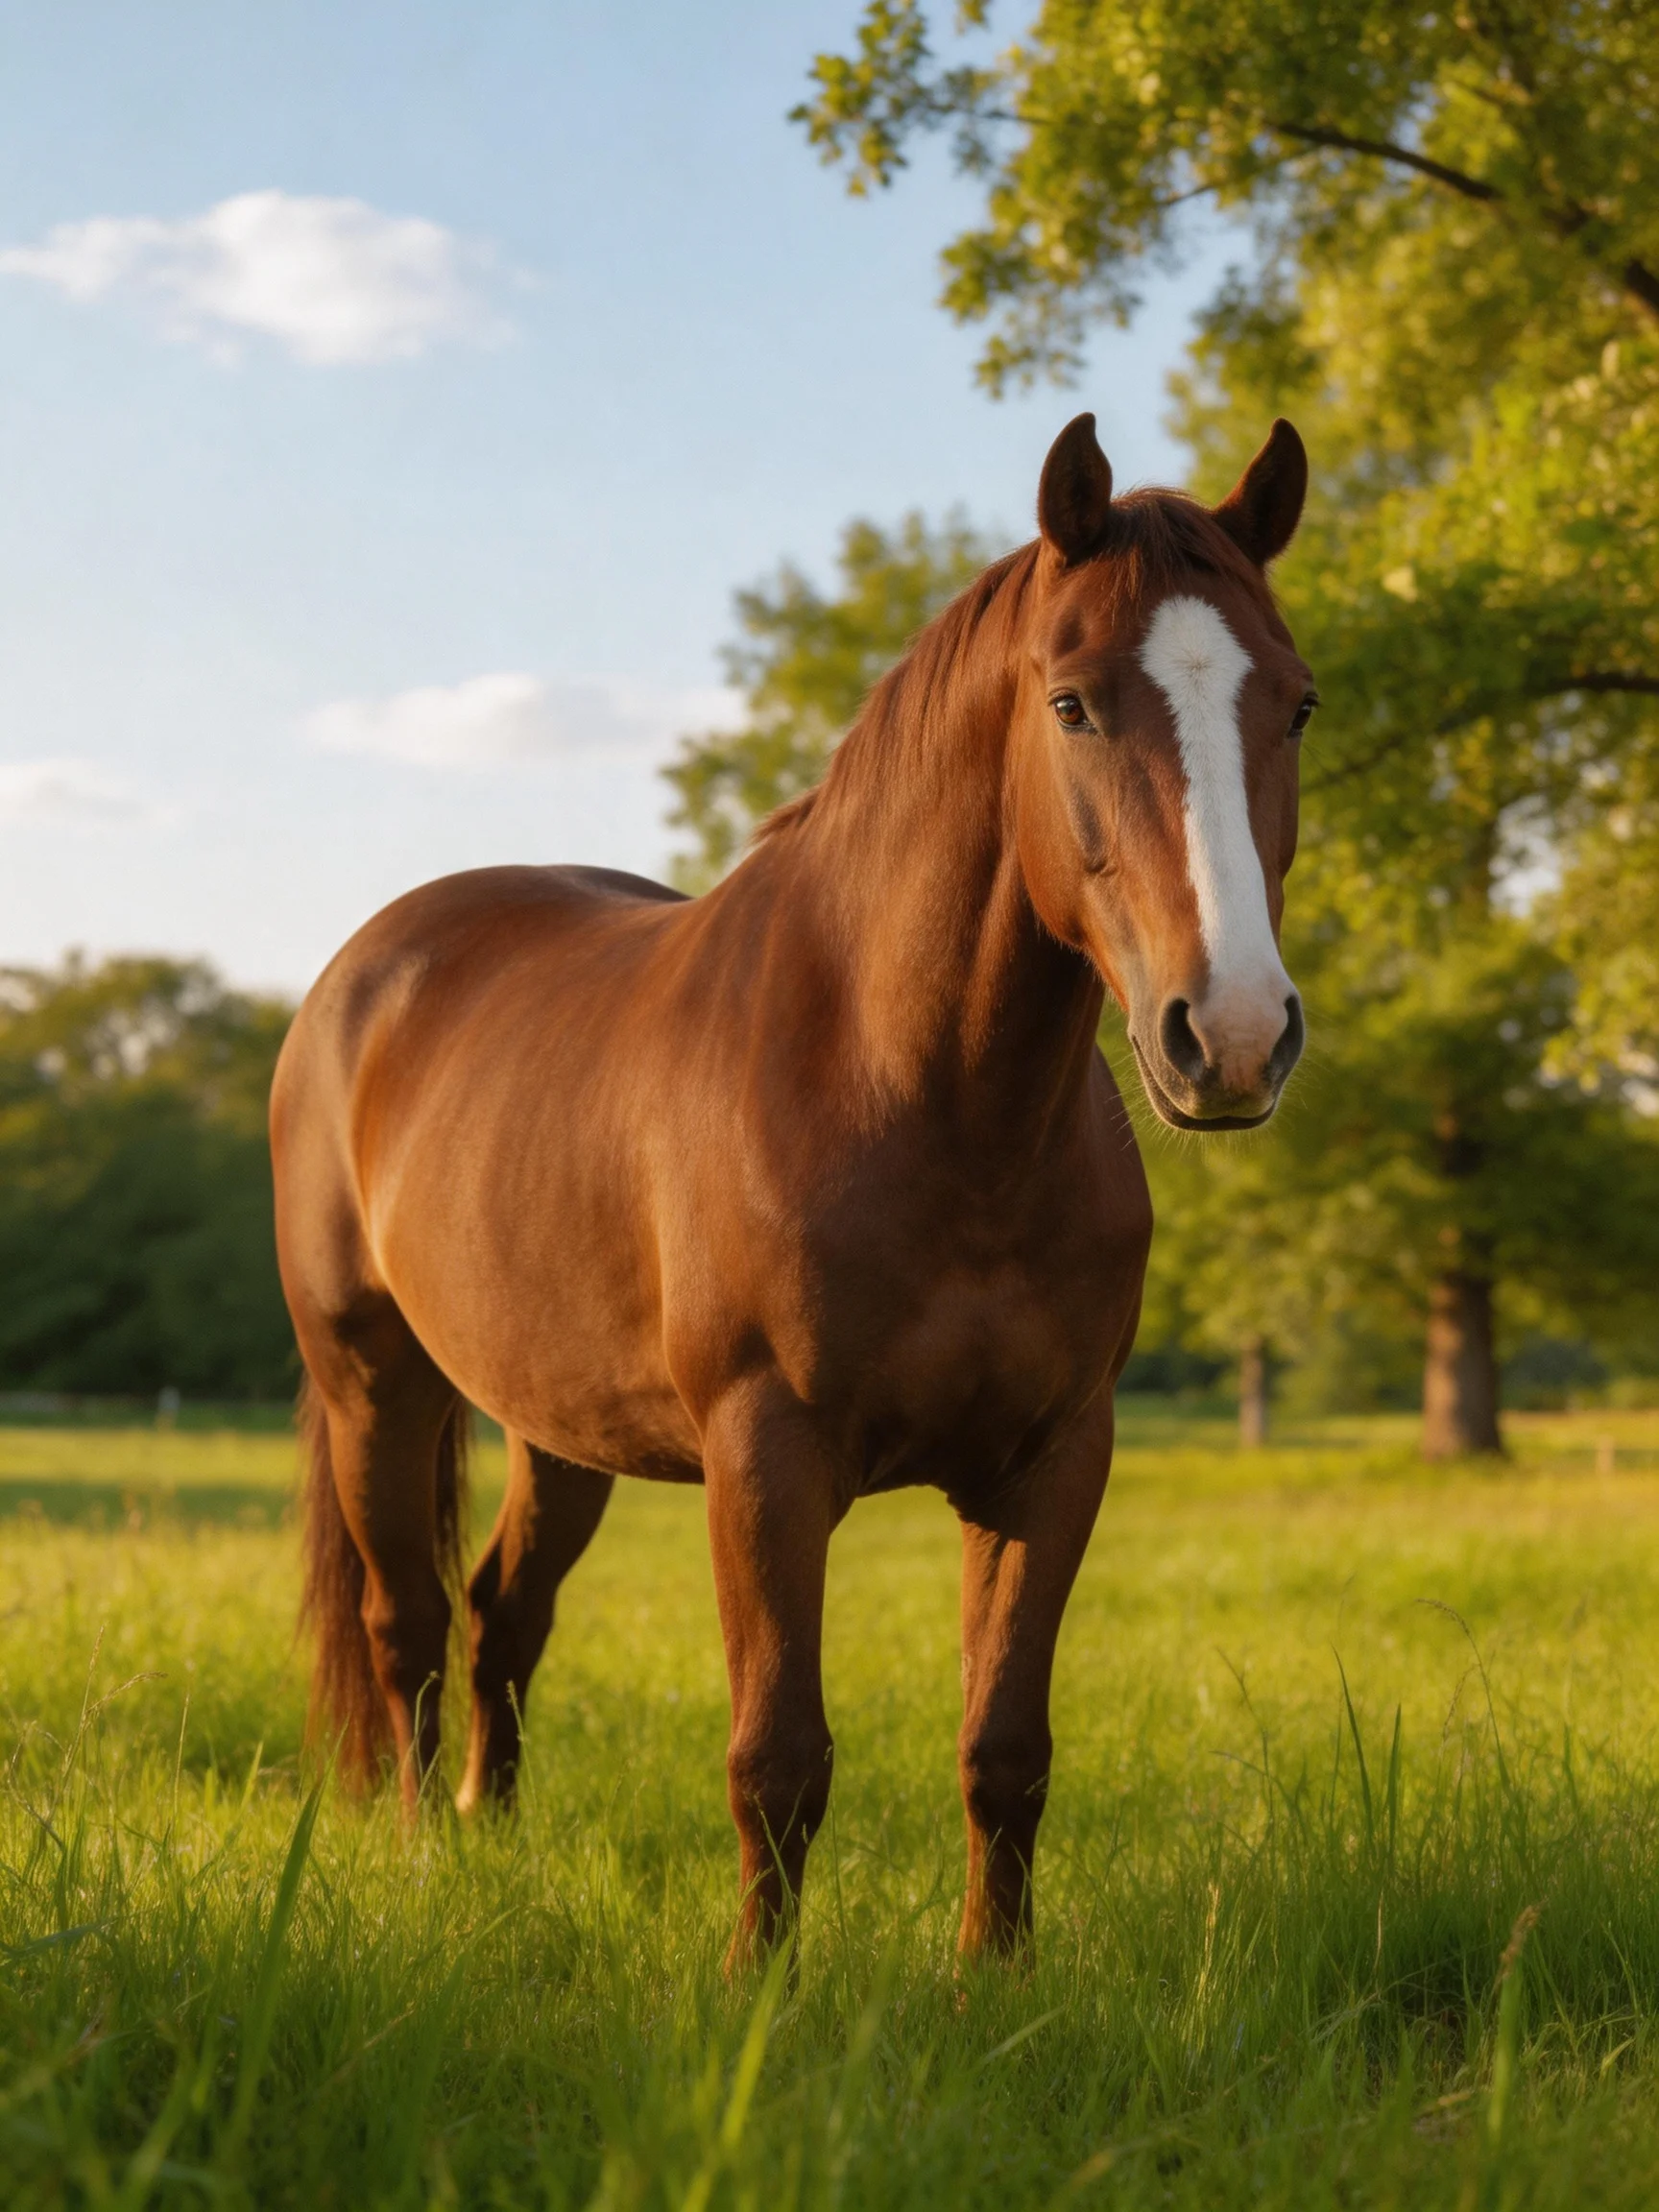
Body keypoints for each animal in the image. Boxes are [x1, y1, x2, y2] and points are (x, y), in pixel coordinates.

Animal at [270, 411, 1314, 1963]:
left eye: (1295, 706)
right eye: (1072, 704)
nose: (1233, 1035)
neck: (924, 1103)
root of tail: (366, 970)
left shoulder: (1054, 1459)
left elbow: (1005, 1750)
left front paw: (992, 1984)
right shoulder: (768, 1458)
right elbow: (778, 1759)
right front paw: (759, 1992)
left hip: (557, 1427)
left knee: (502, 1616)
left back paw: (488, 1841)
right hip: (373, 1386)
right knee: (406, 1633)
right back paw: (415, 1865)